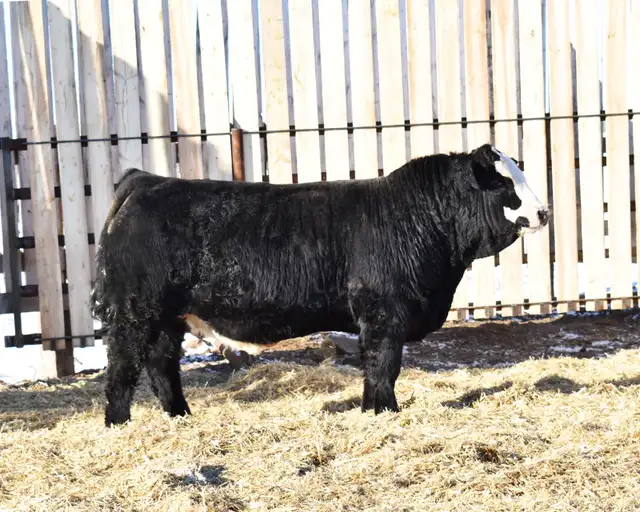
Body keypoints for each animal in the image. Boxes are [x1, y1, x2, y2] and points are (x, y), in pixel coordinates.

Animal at [90, 143, 550, 426]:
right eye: (504, 182)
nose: (544, 211)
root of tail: (145, 180)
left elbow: (376, 368)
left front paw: (372, 411)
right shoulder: (384, 313)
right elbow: (383, 365)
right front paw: (384, 413)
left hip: (170, 317)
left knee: (161, 364)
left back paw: (180, 417)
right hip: (135, 310)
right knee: (123, 368)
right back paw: (119, 425)